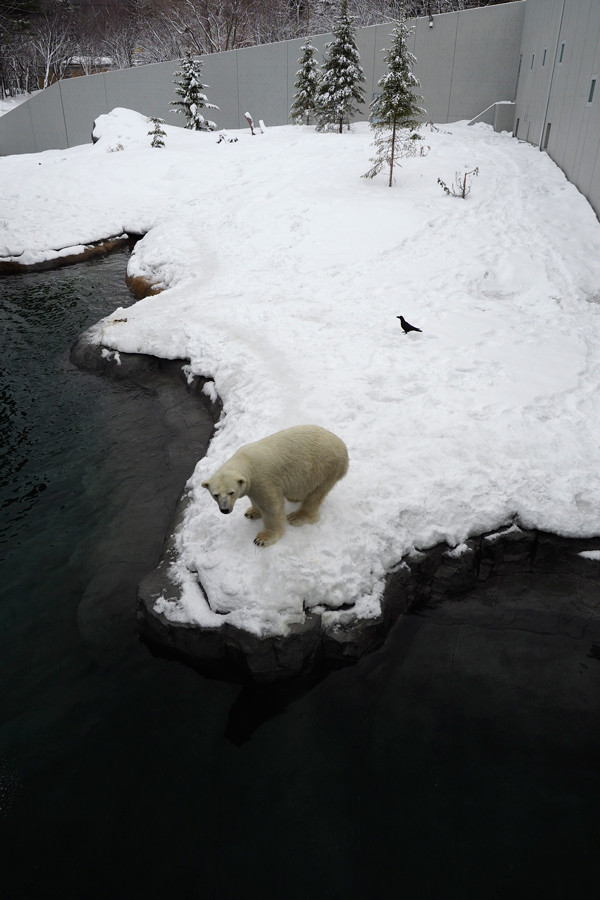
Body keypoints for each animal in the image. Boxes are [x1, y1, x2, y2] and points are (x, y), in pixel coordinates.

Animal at [202, 424, 350, 544]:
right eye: (215, 495)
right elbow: (254, 498)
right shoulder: (253, 485)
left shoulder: (264, 480)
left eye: (231, 492)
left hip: (324, 469)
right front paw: (252, 512)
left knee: (316, 495)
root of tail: (343, 448)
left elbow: (272, 508)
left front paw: (263, 538)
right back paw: (294, 498)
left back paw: (297, 516)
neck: (245, 461)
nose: (225, 510)